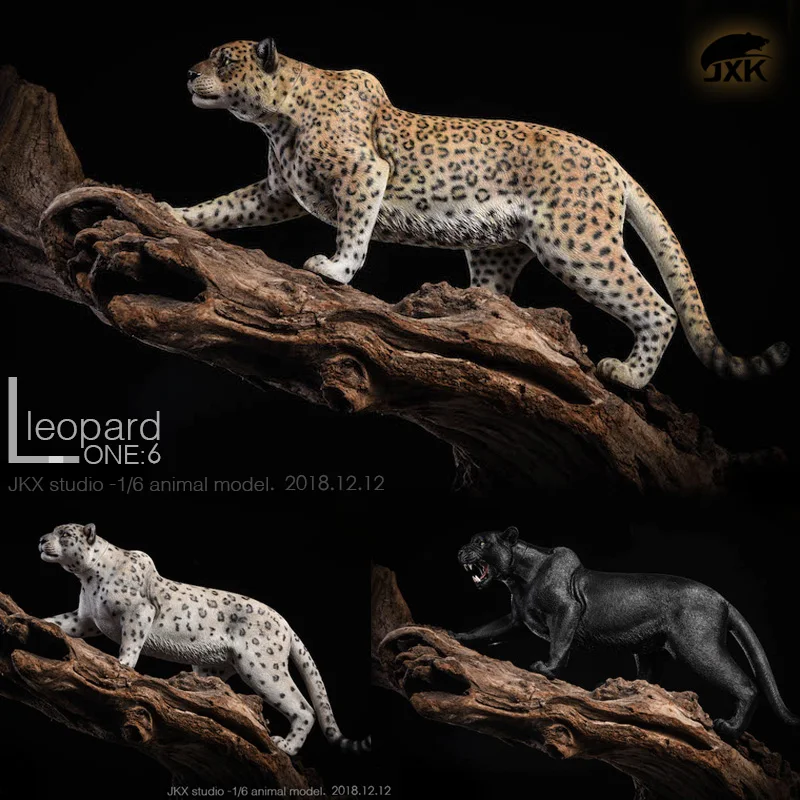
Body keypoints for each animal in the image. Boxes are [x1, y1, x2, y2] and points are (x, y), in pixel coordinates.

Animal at [39, 522, 370, 757]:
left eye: (64, 533)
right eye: (54, 530)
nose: (41, 540)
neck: (87, 579)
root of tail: (285, 624)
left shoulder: (138, 612)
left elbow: (131, 642)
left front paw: (123, 665)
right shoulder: (84, 618)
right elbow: (61, 622)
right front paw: (36, 622)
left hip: (262, 668)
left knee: (303, 706)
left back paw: (286, 746)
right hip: (215, 667)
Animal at [160, 37, 789, 390]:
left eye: (223, 59)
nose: (188, 74)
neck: (275, 119)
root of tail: (612, 162)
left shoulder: (365, 173)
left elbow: (355, 227)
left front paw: (335, 270)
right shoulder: (278, 193)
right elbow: (225, 207)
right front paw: (176, 213)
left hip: (578, 246)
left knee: (658, 306)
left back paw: (627, 376)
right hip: (497, 250)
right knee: (498, 301)